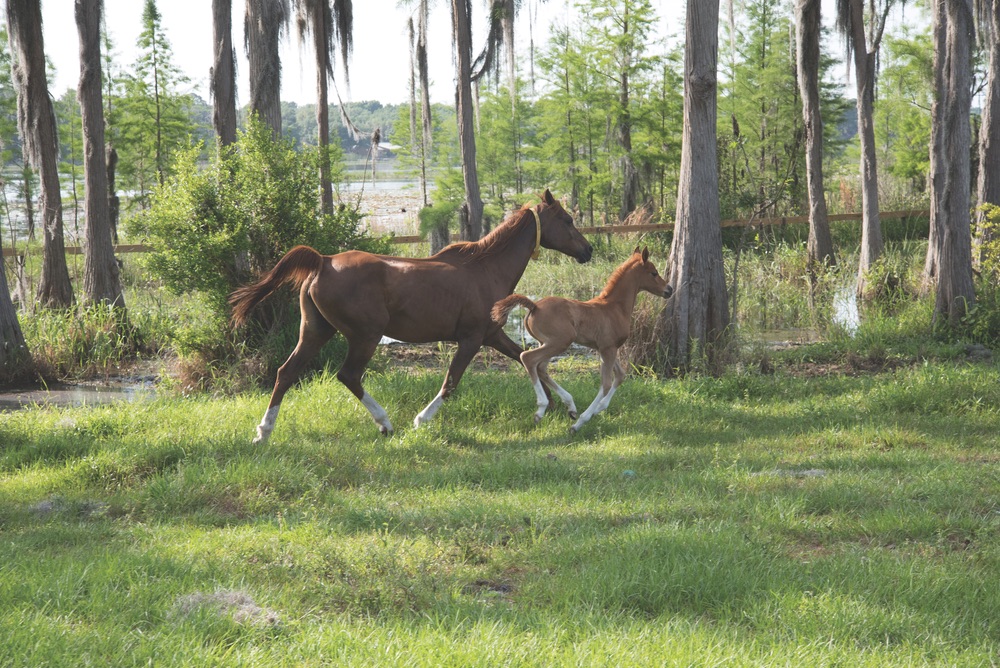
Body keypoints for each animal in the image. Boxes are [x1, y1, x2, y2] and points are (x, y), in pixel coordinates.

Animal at [230, 189, 592, 444]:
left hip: (316, 331)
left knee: (286, 372)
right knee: (348, 375)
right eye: (567, 220)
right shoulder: (471, 339)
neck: (486, 269)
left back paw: (263, 431)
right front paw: (421, 420)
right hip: (365, 335)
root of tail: (324, 261)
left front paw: (566, 404)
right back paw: (386, 423)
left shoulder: (492, 335)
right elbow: (451, 382)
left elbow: (530, 361)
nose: (588, 250)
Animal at [492, 245, 672, 434]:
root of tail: (534, 306)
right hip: (561, 341)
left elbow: (621, 375)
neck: (614, 307)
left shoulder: (605, 348)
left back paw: (570, 407)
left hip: (548, 343)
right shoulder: (608, 349)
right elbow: (606, 384)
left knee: (540, 367)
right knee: (528, 358)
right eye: (653, 273)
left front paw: (599, 408)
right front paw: (580, 422)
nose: (669, 290)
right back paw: (541, 409)